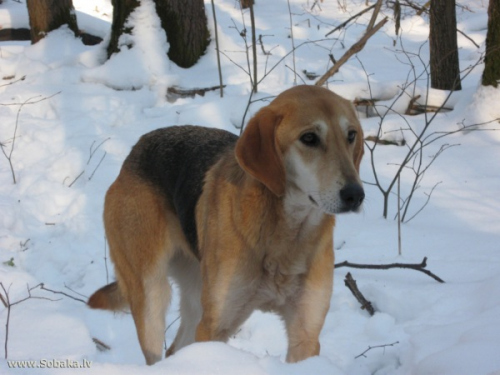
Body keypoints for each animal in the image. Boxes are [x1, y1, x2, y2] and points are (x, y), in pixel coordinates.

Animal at [88, 84, 366, 364]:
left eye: (351, 135)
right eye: (309, 138)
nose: (355, 195)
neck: (285, 234)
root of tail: (133, 153)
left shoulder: (305, 334)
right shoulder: (214, 326)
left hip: (195, 294)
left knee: (175, 349)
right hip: (152, 294)